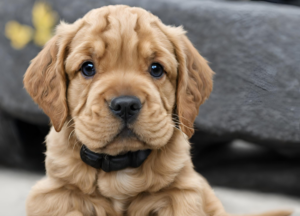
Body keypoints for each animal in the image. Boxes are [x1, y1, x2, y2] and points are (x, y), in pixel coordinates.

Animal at [24, 5, 292, 216]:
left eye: (156, 69)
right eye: (87, 68)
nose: (125, 105)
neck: (121, 167)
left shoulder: (182, 194)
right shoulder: (56, 195)